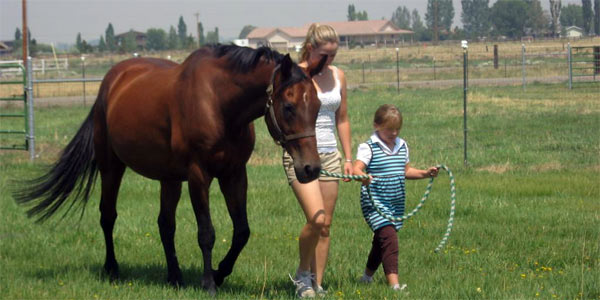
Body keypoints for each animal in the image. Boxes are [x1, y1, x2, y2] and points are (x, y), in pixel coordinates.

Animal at [14, 44, 326, 292]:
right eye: (288, 106)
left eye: (318, 105)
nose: (310, 168)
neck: (219, 102)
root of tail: (110, 84)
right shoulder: (199, 176)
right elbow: (207, 232)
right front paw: (208, 283)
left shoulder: (234, 174)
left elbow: (241, 231)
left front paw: (219, 273)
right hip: (111, 167)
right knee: (108, 216)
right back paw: (112, 269)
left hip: (169, 179)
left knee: (165, 224)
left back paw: (174, 277)